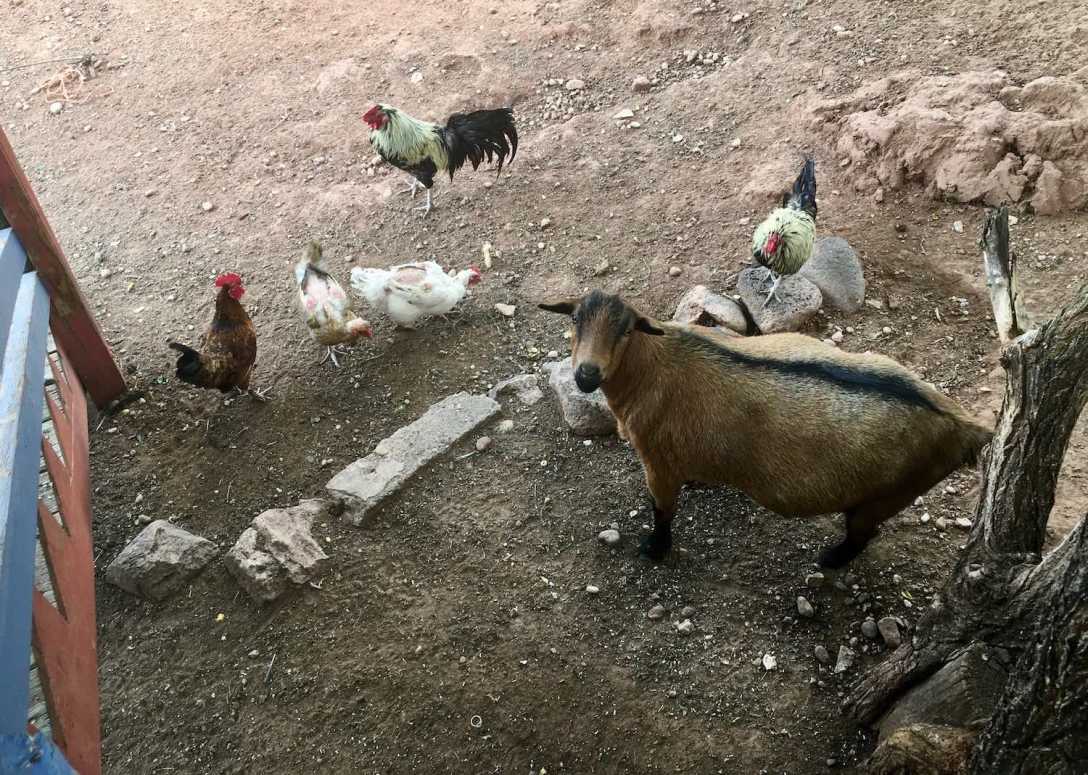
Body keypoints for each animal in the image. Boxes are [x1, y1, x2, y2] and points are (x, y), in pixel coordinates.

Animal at [539, 291, 993, 568]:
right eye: (575, 318)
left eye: (626, 329)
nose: (585, 375)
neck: (653, 364)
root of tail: (965, 426)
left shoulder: (658, 461)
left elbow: (663, 511)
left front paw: (655, 549)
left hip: (889, 495)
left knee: (863, 535)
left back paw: (830, 560)